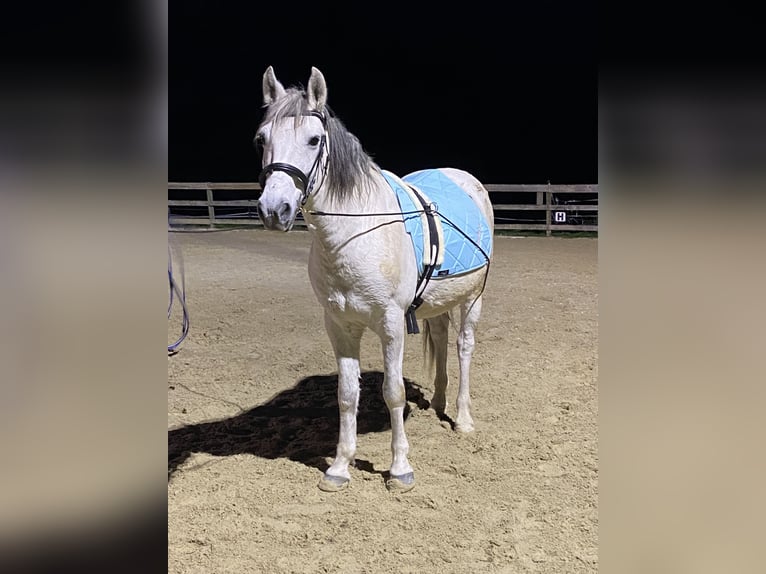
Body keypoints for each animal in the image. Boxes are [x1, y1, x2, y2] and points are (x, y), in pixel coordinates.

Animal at [255, 66, 494, 492]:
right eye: (261, 139)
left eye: (314, 139)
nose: (273, 209)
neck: (356, 235)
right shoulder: (339, 325)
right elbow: (347, 394)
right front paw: (338, 467)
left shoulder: (391, 323)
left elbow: (393, 392)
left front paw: (400, 469)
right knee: (442, 339)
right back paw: (438, 403)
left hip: (472, 299)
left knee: (464, 347)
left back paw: (462, 419)